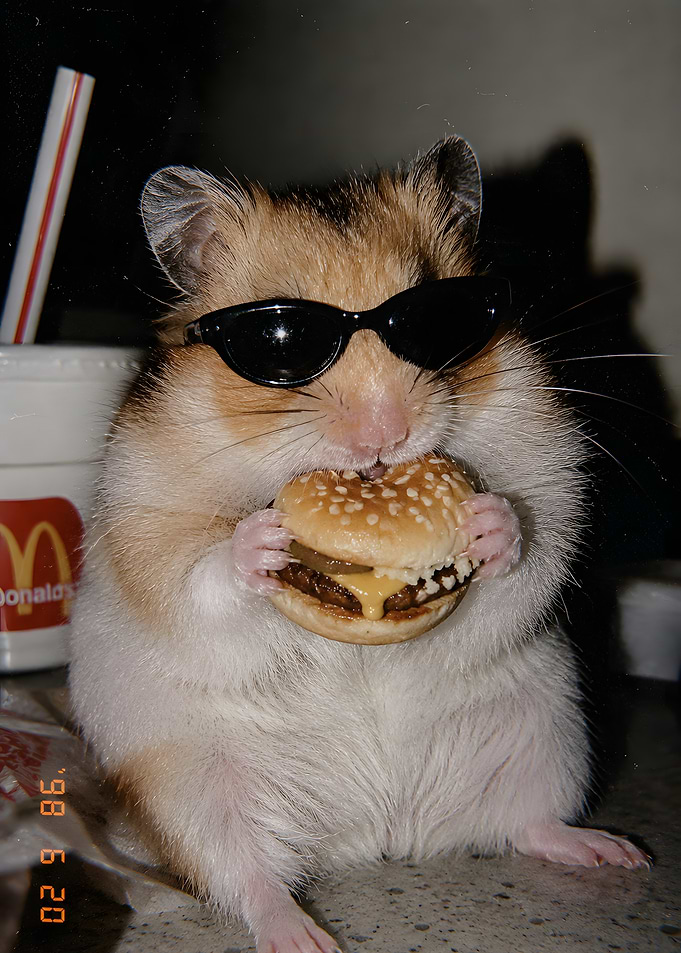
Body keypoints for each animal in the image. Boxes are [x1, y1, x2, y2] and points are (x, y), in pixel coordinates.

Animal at [68, 137, 648, 953]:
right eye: (280, 341)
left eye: (440, 320)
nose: (385, 441)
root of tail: (377, 835)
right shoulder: (142, 519)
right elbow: (195, 578)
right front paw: (263, 540)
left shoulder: (548, 470)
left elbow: (535, 535)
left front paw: (488, 521)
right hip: (190, 788)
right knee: (247, 879)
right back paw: (304, 935)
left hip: (549, 736)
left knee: (525, 824)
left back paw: (614, 854)